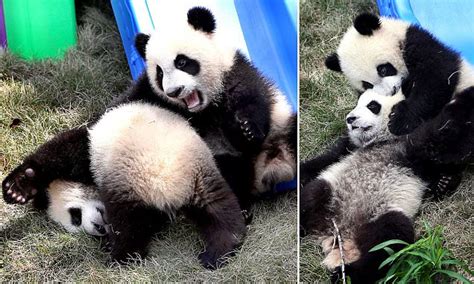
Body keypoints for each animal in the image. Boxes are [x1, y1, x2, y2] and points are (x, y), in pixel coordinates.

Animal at [302, 87, 474, 284]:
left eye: (372, 105)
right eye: (356, 104)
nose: (350, 119)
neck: (382, 140)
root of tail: (341, 238)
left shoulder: (411, 148)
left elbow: (446, 136)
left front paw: (445, 182)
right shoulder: (347, 148)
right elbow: (323, 160)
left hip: (380, 215)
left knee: (388, 243)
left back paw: (345, 274)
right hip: (331, 193)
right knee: (311, 195)